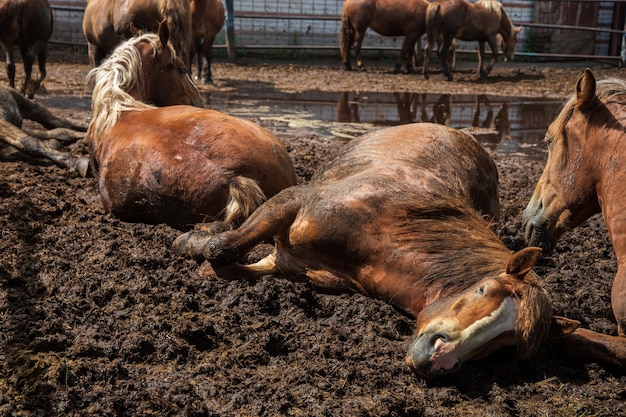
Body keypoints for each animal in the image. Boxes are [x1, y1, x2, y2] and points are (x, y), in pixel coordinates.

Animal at [172, 122, 580, 376]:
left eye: (507, 345)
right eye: (483, 289)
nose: (441, 358)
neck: (381, 237)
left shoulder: (289, 264)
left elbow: (226, 264)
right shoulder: (293, 201)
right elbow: (222, 249)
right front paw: (194, 242)